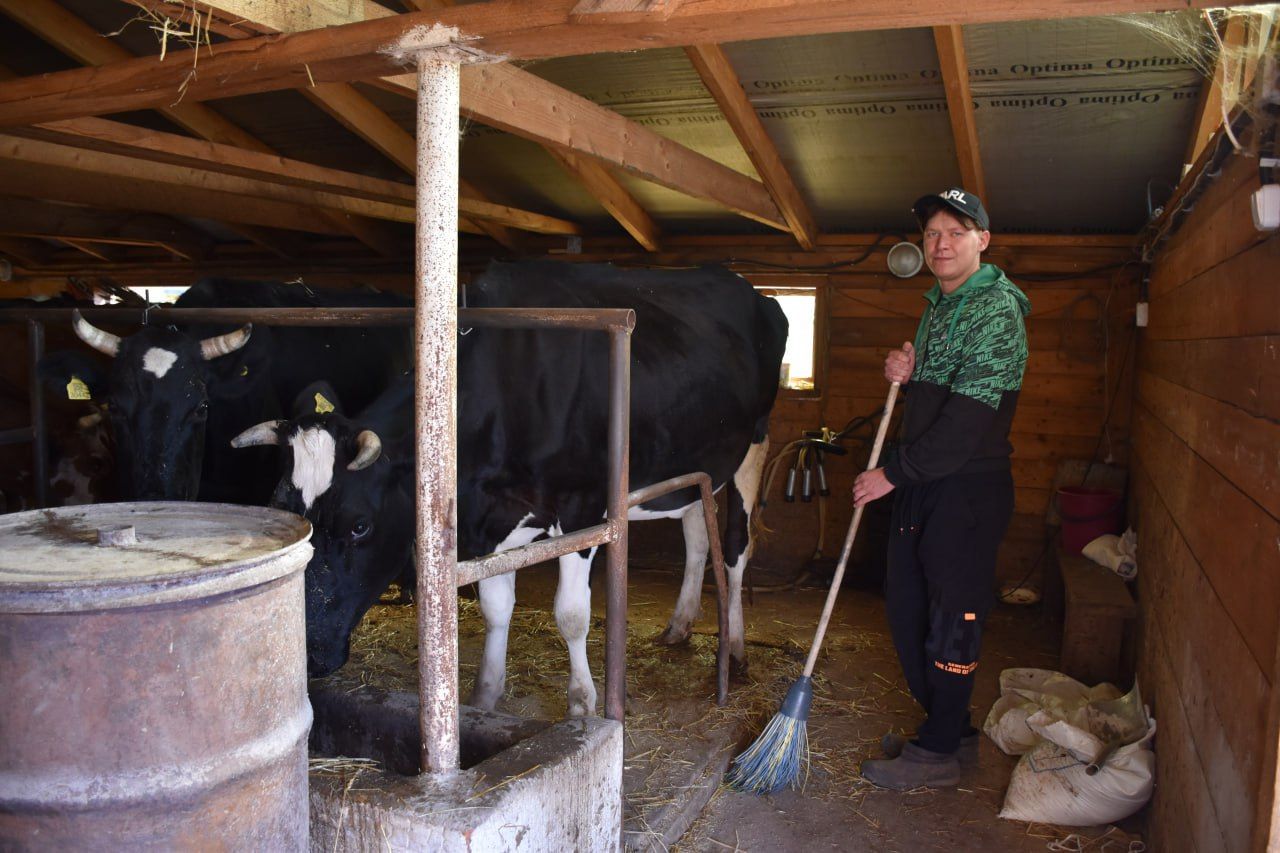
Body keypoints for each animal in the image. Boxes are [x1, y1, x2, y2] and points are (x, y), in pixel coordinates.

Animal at [234, 262, 783, 712]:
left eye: (359, 526)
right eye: (281, 504)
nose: (308, 657)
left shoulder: (582, 506)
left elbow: (571, 614)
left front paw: (582, 703)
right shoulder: (487, 515)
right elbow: (497, 607)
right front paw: (486, 695)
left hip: (753, 446)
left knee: (736, 548)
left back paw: (736, 651)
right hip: (692, 459)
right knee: (695, 535)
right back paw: (680, 625)